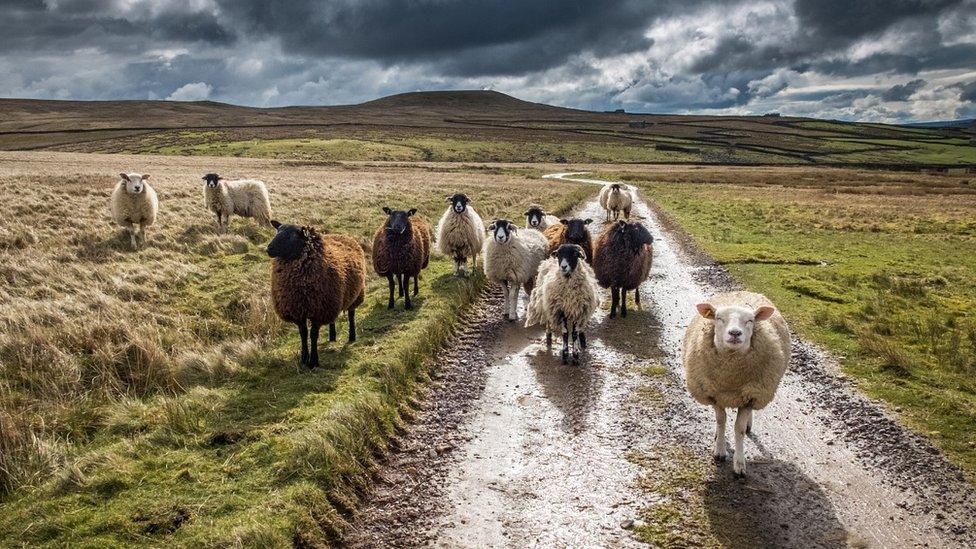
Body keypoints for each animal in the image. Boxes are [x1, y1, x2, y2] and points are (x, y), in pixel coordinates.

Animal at [266, 219, 366, 368]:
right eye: (277, 231)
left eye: (291, 235)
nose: (268, 249)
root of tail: (343, 235)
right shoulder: (298, 310)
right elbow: (303, 334)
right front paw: (303, 358)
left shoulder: (318, 311)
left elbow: (313, 335)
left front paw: (313, 361)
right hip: (333, 299)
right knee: (333, 319)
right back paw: (332, 336)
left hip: (355, 295)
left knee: (351, 314)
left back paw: (352, 336)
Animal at [684, 292, 788, 476]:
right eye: (718, 318)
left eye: (750, 320)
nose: (734, 333)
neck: (730, 378)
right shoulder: (715, 394)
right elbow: (721, 421)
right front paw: (719, 451)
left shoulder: (750, 396)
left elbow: (738, 429)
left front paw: (739, 463)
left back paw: (748, 425)